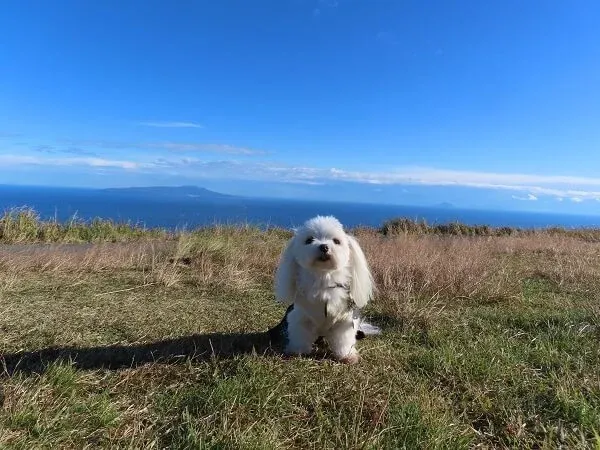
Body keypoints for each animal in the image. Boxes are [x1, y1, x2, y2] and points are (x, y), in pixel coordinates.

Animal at [268, 215, 380, 366]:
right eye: (309, 240)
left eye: (336, 241)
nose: (324, 246)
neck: (324, 281)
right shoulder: (301, 317)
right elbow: (299, 335)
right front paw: (297, 351)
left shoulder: (344, 321)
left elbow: (344, 340)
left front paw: (347, 356)